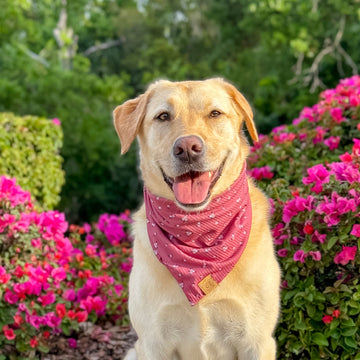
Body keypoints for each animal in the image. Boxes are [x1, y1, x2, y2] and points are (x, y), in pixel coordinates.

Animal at [112, 79, 282, 360]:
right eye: (163, 116)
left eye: (215, 113)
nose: (188, 148)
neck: (199, 232)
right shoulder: (153, 344)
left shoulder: (256, 342)